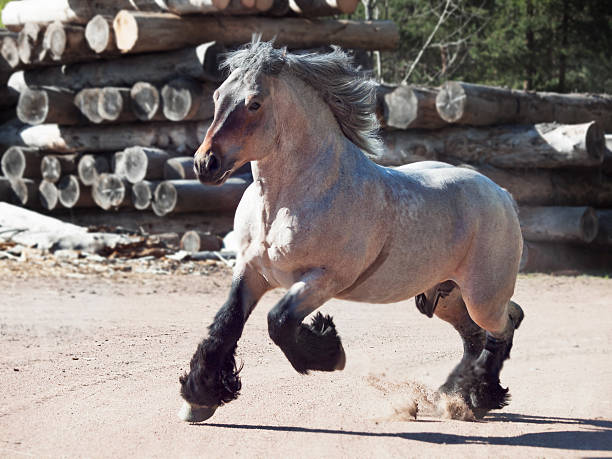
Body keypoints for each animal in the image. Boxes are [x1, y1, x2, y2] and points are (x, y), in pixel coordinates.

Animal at [178, 39, 524, 424]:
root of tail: (501, 193)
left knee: (503, 327)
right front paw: (199, 398)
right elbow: (227, 324)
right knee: (480, 334)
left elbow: (278, 321)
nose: (205, 164)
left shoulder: (325, 279)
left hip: (481, 296)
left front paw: (330, 352)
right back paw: (460, 395)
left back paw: (478, 396)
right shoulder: (252, 271)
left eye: (254, 103)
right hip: (448, 296)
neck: (286, 203)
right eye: (217, 96)